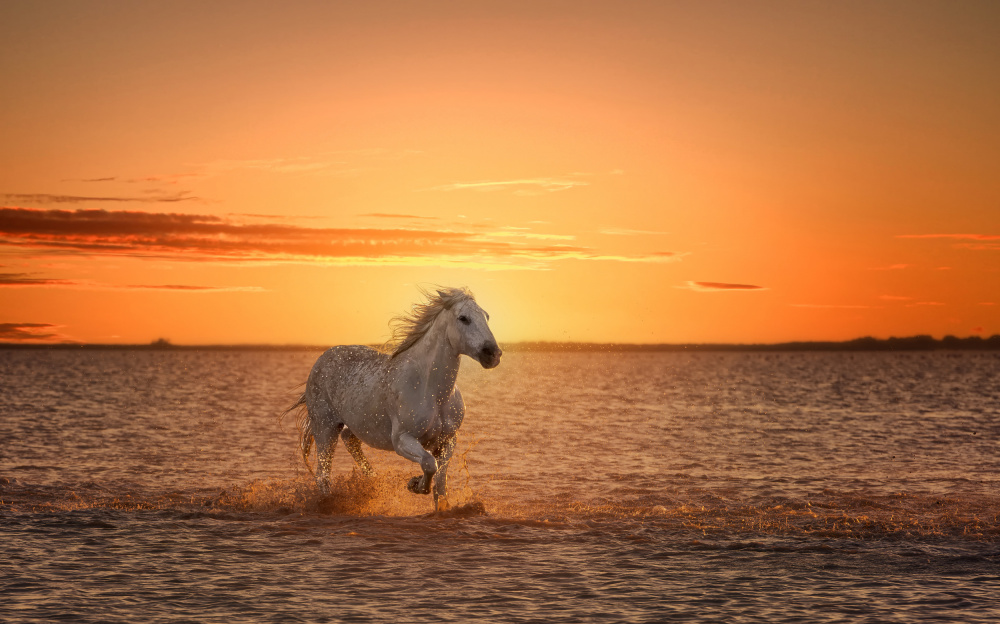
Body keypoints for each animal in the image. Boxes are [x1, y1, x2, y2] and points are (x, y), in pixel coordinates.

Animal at [283, 286, 501, 511]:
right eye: (463, 318)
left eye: (486, 316)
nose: (493, 354)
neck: (431, 390)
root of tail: (321, 360)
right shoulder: (402, 439)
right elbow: (429, 463)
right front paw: (415, 484)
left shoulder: (448, 440)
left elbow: (440, 483)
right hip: (325, 427)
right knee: (323, 475)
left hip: (352, 426)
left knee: (350, 441)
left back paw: (371, 481)